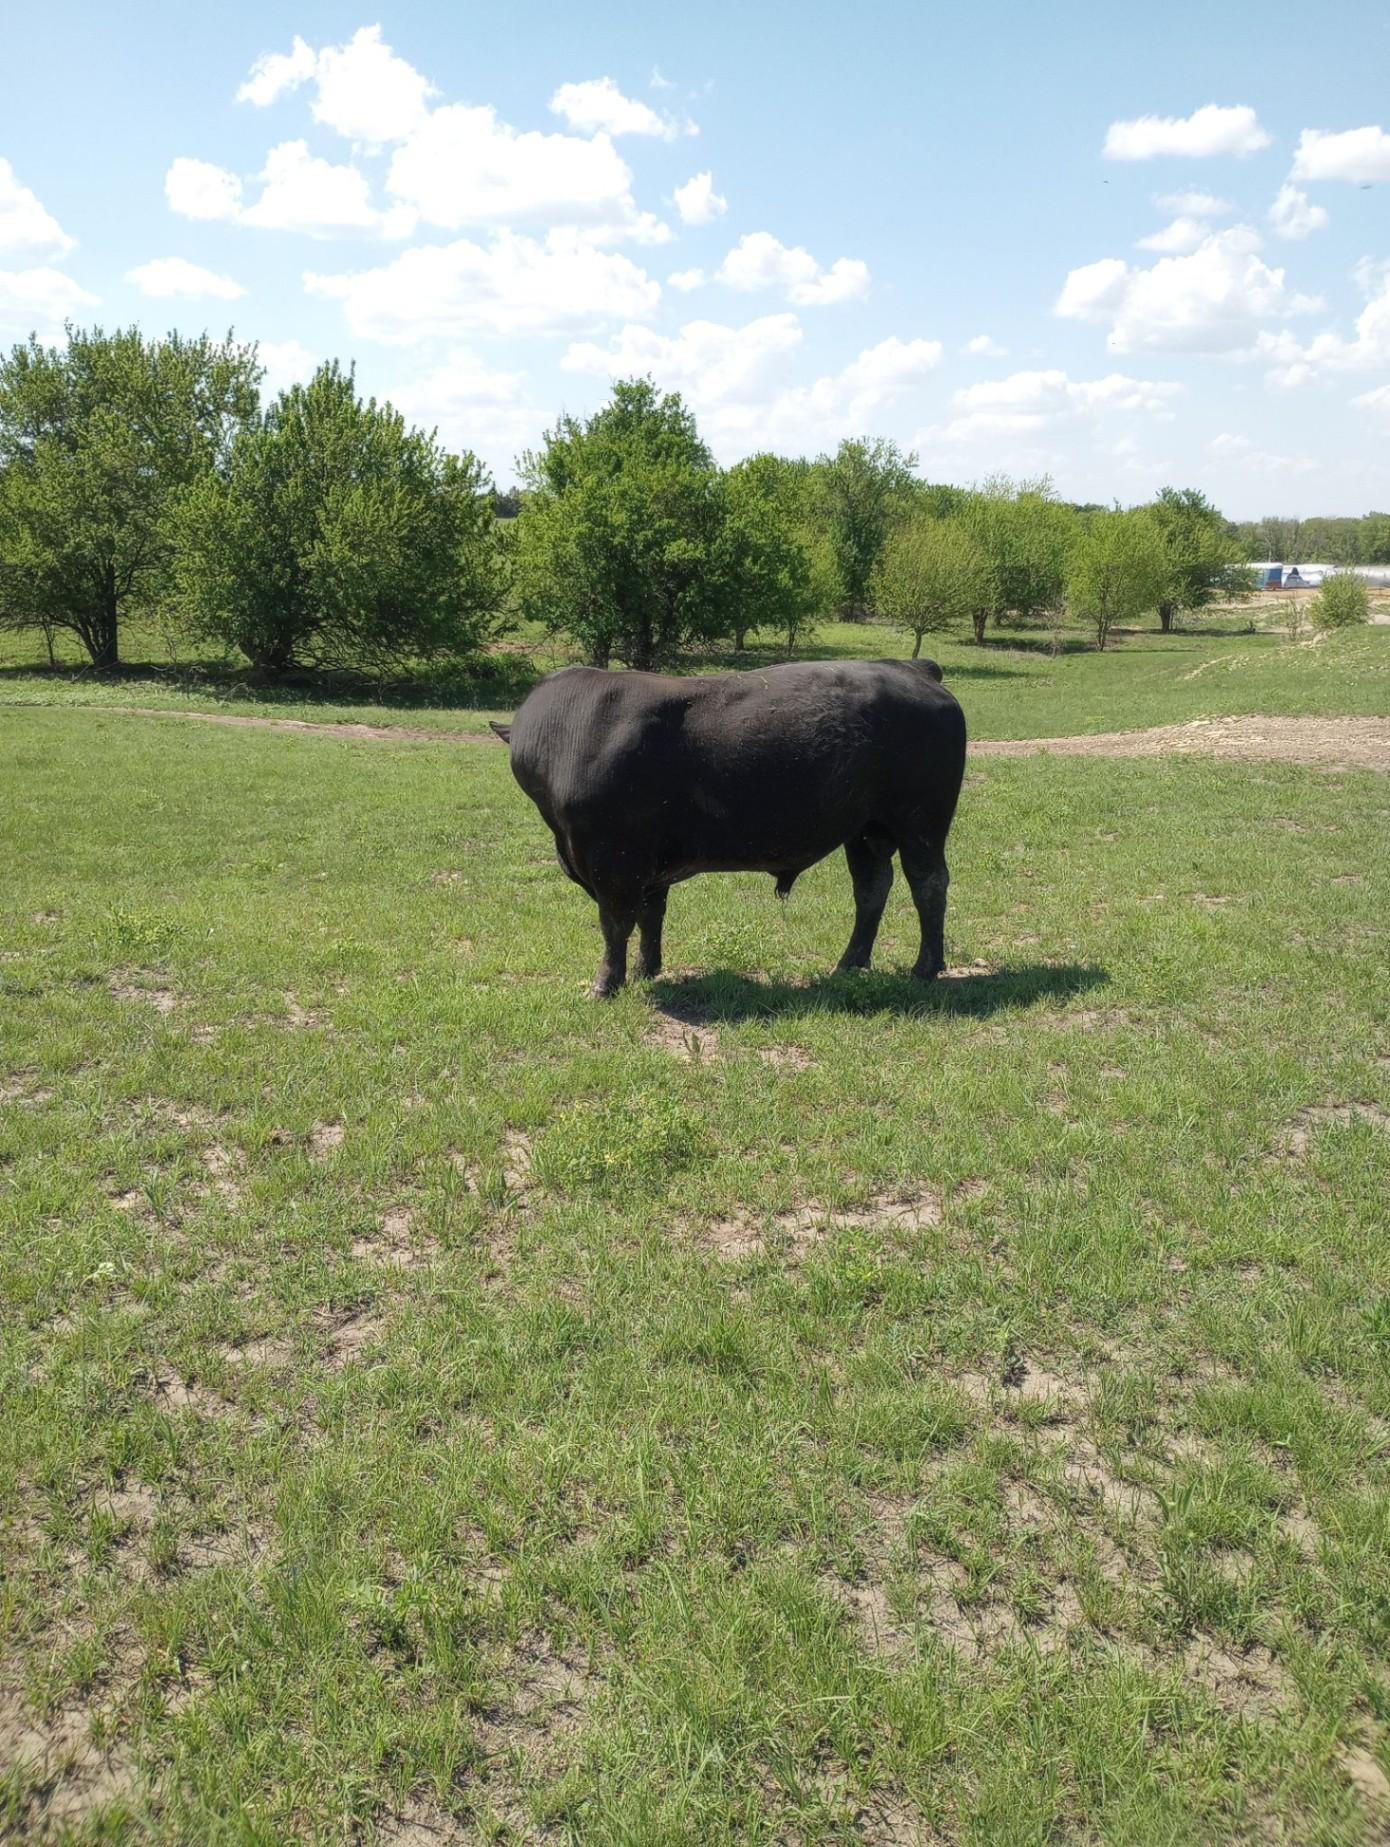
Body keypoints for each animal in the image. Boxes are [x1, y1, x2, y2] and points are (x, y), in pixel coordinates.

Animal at [490, 658, 967, 997]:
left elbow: (616, 923)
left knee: (928, 884)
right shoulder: (647, 863)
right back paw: (849, 963)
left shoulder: (615, 861)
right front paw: (647, 969)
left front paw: (606, 984)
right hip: (866, 830)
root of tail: (912, 668)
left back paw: (925, 968)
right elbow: (650, 916)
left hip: (921, 823)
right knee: (871, 887)